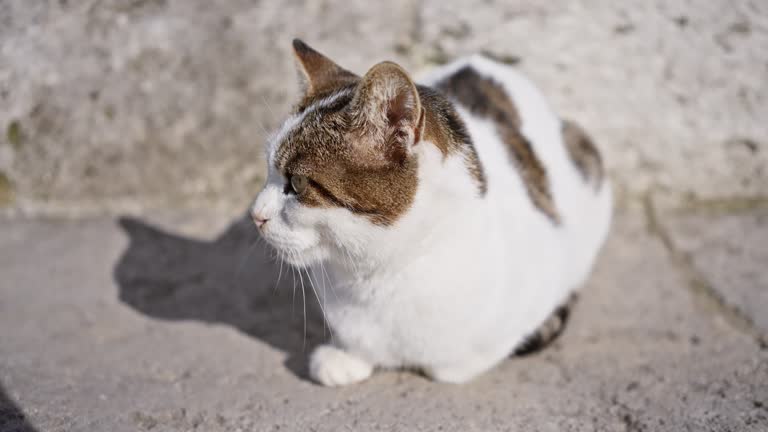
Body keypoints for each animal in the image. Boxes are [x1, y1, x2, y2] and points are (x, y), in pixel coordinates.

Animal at [252, 38, 612, 386]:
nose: (255, 215)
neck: (377, 274)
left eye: (297, 182)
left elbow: (453, 365)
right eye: (268, 170)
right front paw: (346, 356)